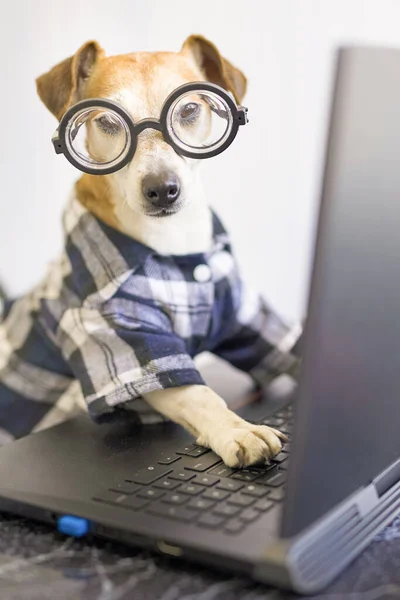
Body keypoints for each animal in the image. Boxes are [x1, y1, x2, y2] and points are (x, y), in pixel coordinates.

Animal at [0, 36, 300, 468]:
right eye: (108, 122)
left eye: (189, 109)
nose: (162, 189)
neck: (175, 245)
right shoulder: (121, 337)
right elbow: (199, 394)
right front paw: (238, 430)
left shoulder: (247, 317)